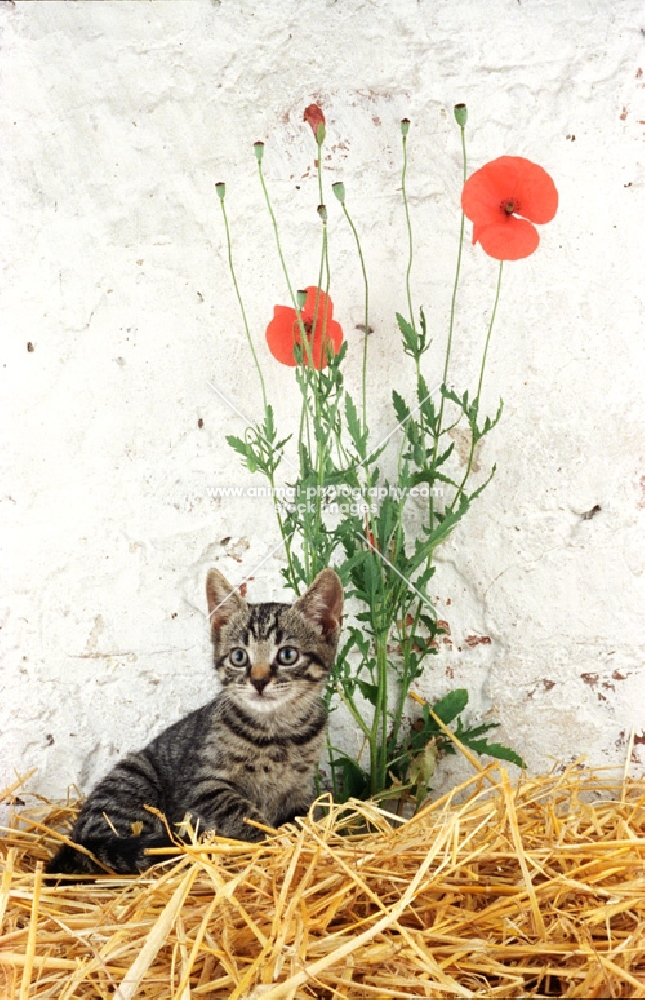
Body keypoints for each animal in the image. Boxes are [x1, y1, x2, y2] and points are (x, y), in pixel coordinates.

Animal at [45, 572, 342, 876]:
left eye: (287, 655)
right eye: (239, 656)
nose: (258, 681)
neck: (276, 732)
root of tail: (77, 839)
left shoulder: (300, 788)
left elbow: (305, 816)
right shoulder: (201, 785)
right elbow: (240, 811)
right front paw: (270, 838)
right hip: (133, 779)